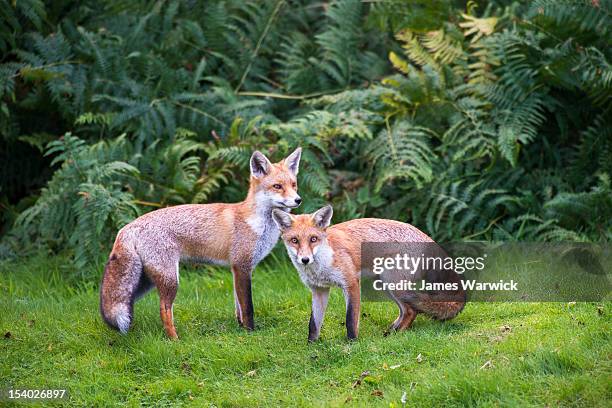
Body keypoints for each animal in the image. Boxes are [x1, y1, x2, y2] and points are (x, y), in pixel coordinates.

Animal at [101, 148, 304, 340]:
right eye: (277, 186)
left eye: (293, 185)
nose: (298, 199)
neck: (256, 224)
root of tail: (128, 227)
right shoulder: (242, 266)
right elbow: (248, 308)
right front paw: (250, 333)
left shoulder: (236, 270)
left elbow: (238, 306)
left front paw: (240, 329)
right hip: (170, 279)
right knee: (164, 309)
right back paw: (175, 340)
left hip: (145, 281)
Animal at [272, 204, 464, 342]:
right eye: (294, 240)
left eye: (313, 239)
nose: (305, 259)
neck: (323, 262)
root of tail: (428, 237)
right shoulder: (319, 290)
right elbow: (313, 323)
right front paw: (311, 346)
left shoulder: (351, 284)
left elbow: (350, 319)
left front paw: (351, 344)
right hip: (387, 285)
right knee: (407, 310)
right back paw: (392, 330)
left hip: (392, 283)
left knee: (411, 311)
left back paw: (393, 335)